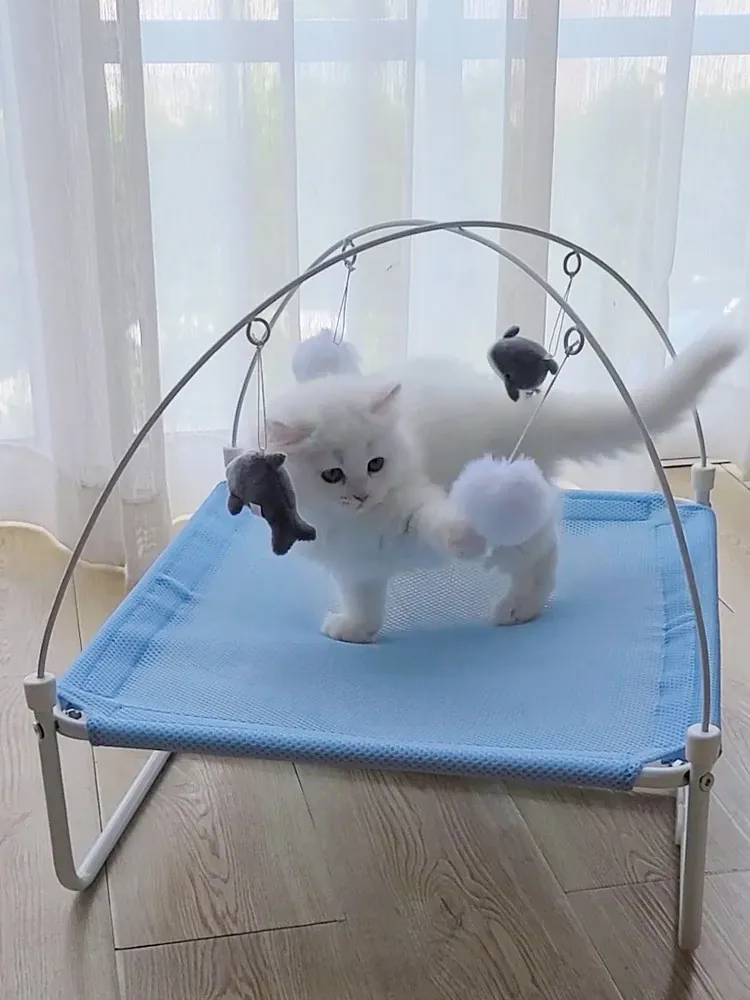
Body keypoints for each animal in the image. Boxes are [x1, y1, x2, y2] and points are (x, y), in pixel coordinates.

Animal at [266, 329, 743, 643]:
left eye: (375, 464)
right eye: (333, 475)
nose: (363, 494)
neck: (353, 524)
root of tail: (529, 410)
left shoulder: (414, 504)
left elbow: (439, 522)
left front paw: (466, 537)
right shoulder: (355, 566)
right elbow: (363, 600)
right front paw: (355, 631)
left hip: (516, 527)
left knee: (543, 552)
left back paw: (518, 609)